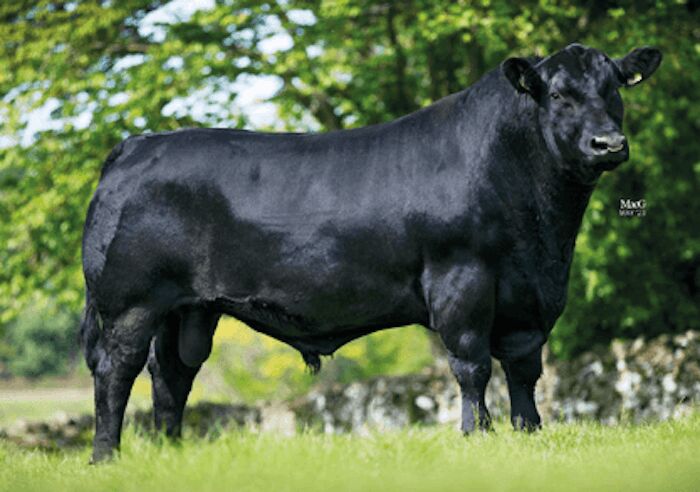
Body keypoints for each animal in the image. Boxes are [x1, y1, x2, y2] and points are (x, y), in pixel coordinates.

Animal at [80, 43, 661, 462]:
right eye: (559, 95)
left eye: (614, 88)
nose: (609, 144)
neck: (544, 232)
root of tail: (136, 144)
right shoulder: (462, 279)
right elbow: (472, 365)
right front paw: (478, 434)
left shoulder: (530, 294)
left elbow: (523, 367)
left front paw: (529, 433)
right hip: (131, 302)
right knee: (116, 369)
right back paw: (107, 457)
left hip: (188, 309)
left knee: (171, 375)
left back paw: (170, 453)